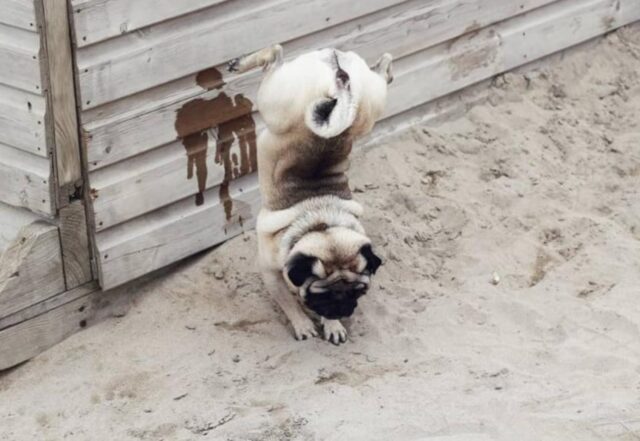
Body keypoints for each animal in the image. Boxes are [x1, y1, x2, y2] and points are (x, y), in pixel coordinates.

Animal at [228, 44, 392, 344]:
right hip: (277, 97)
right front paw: (303, 324)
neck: (321, 224)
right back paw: (241, 63)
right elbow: (288, 302)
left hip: (366, 103)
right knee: (274, 55)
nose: (343, 308)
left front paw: (333, 324)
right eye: (321, 296)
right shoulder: (271, 274)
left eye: (359, 291)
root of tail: (342, 88)